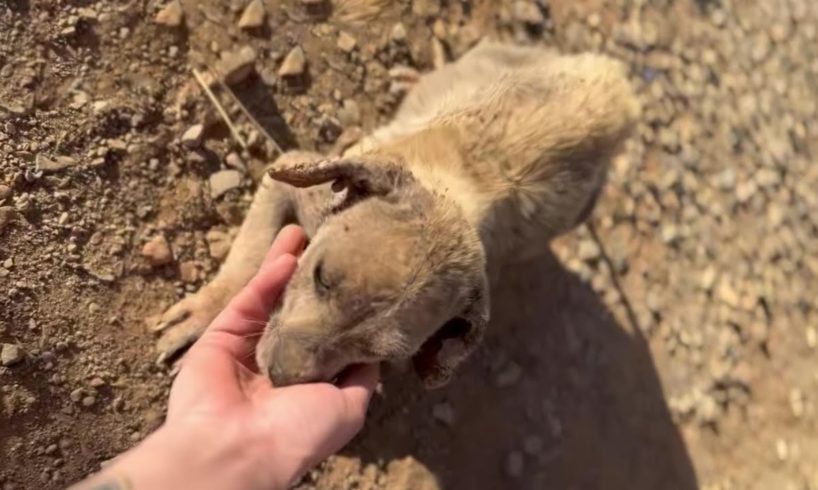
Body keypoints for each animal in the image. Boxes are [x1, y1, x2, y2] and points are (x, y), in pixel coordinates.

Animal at [153, 40, 636, 388]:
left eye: (382, 356)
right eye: (321, 277)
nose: (279, 377)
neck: (457, 194)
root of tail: (616, 85)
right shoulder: (290, 177)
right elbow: (248, 258)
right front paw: (199, 316)